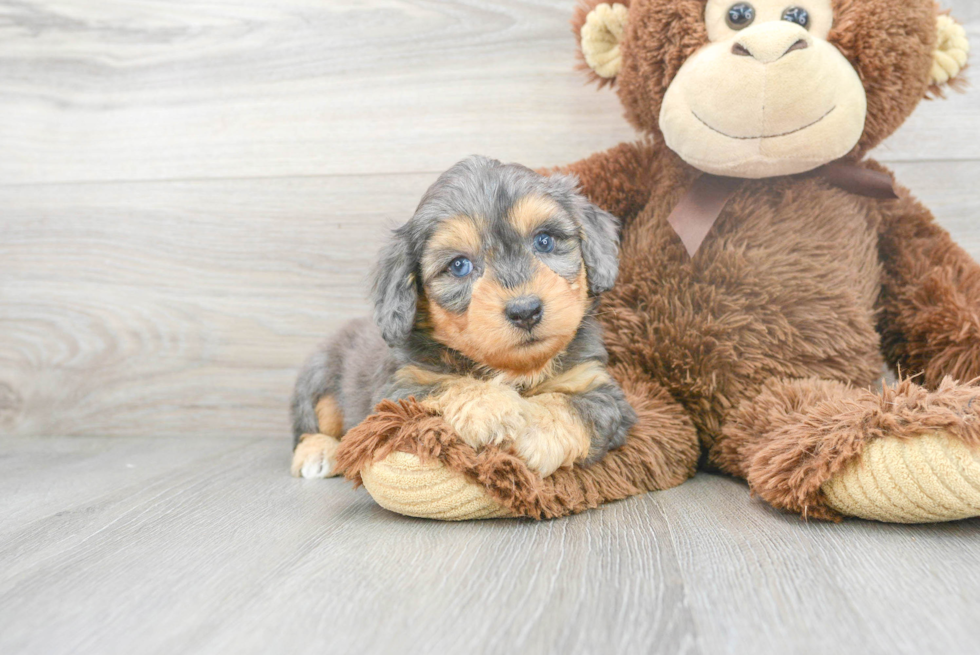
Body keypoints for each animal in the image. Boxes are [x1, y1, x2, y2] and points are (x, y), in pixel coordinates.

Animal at [290, 156, 636, 480]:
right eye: (459, 265)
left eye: (544, 240)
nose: (525, 311)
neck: (515, 370)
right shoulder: (398, 390)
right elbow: (446, 385)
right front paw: (491, 408)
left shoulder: (600, 387)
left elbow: (573, 406)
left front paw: (534, 429)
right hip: (320, 379)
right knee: (309, 424)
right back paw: (317, 452)